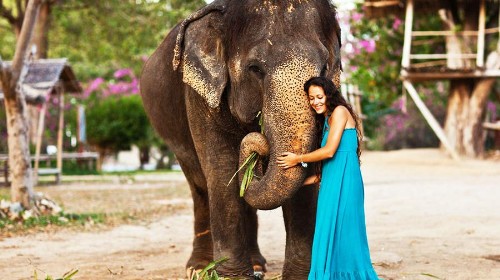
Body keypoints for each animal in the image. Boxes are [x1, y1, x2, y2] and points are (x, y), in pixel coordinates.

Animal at [141, 0, 344, 278]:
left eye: (324, 68)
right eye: (255, 68)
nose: (258, 143)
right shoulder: (199, 96)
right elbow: (222, 169)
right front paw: (231, 276)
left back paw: (257, 264)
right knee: (200, 187)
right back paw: (199, 268)